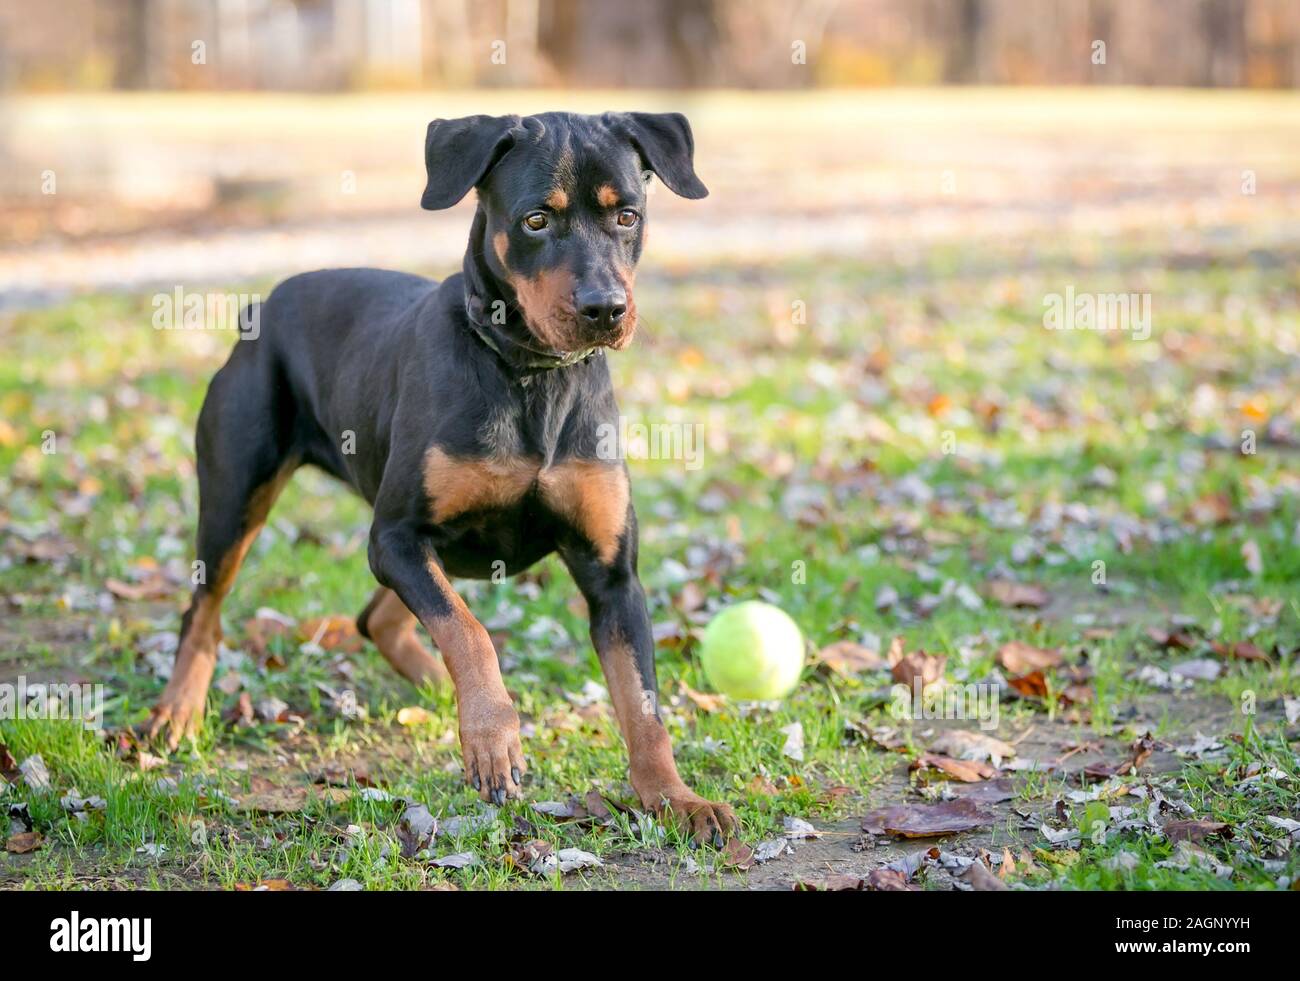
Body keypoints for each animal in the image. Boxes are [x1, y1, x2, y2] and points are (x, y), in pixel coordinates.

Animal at [147, 109, 738, 841]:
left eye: (627, 215)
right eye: (536, 220)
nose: (605, 309)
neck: (529, 375)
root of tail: (265, 306)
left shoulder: (612, 575)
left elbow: (644, 704)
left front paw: (675, 799)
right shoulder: (397, 535)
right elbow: (469, 631)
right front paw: (493, 736)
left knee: (378, 614)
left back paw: (431, 685)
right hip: (238, 497)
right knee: (205, 605)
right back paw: (177, 711)